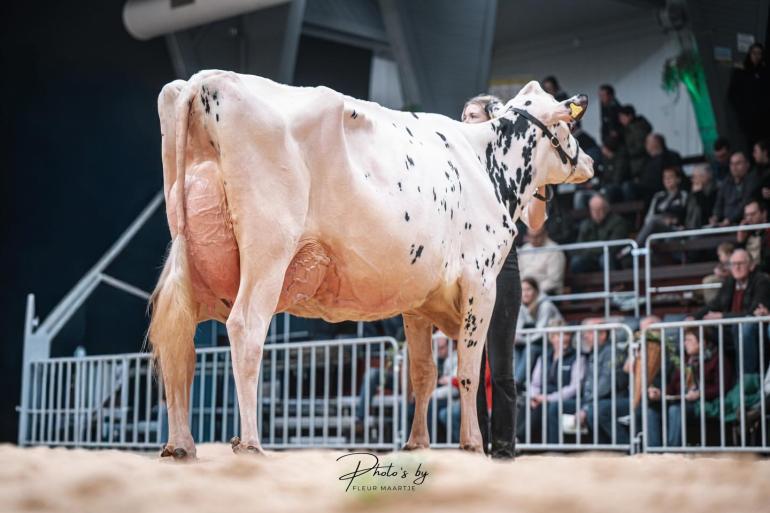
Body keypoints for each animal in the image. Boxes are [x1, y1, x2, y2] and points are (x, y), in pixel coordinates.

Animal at [149, 70, 593, 459]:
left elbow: (423, 373)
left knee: (179, 342)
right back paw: (251, 444)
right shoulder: (481, 281)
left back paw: (181, 445)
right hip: (268, 250)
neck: (486, 164)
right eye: (569, 127)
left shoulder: (419, 301)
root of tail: (206, 80)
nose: (589, 161)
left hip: (189, 255)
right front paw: (471, 444)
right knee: (245, 328)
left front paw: (417, 443)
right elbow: (468, 370)